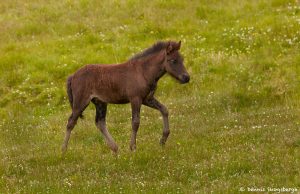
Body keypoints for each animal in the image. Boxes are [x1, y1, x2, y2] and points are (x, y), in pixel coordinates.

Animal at [61, 40, 190, 154]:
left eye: (182, 59)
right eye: (173, 60)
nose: (186, 77)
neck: (143, 72)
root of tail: (72, 76)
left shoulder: (147, 99)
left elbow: (164, 110)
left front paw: (163, 139)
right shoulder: (135, 99)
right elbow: (136, 122)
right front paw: (133, 147)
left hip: (100, 102)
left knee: (100, 122)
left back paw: (115, 148)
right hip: (81, 102)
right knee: (71, 122)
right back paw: (63, 150)